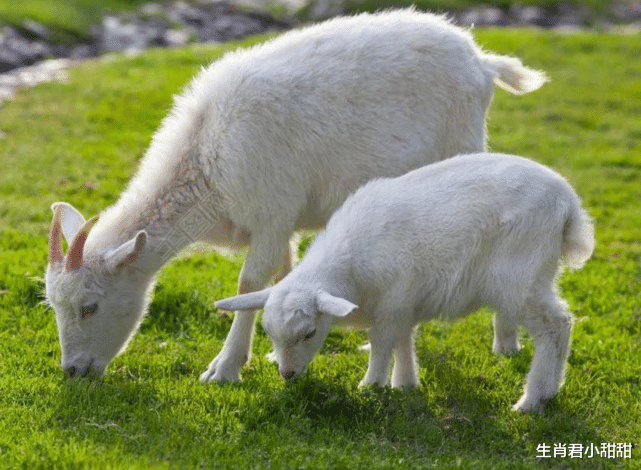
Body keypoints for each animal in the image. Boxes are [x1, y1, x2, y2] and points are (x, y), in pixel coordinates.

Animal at [45, 9, 544, 380]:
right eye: (54, 305)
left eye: (90, 306)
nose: (73, 371)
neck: (206, 156)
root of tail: (482, 61)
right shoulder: (282, 223)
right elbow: (282, 275)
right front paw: (270, 351)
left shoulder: (270, 213)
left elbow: (249, 282)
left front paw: (225, 367)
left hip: (464, 147)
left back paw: (505, 341)